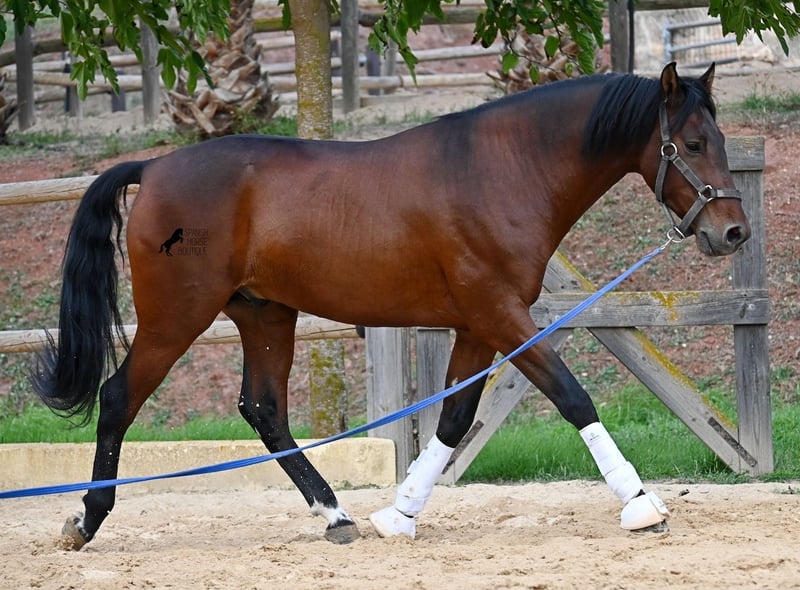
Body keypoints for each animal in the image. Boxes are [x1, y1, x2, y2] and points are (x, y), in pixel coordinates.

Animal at [33, 62, 750, 549]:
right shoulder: (501, 314)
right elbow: (572, 397)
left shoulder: (478, 324)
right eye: (690, 144)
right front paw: (641, 503)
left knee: (264, 411)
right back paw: (86, 520)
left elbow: (455, 420)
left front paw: (399, 514)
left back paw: (337, 515)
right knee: (119, 399)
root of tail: (154, 169)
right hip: (177, 315)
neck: (501, 170)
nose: (733, 233)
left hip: (265, 315)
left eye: (717, 139)